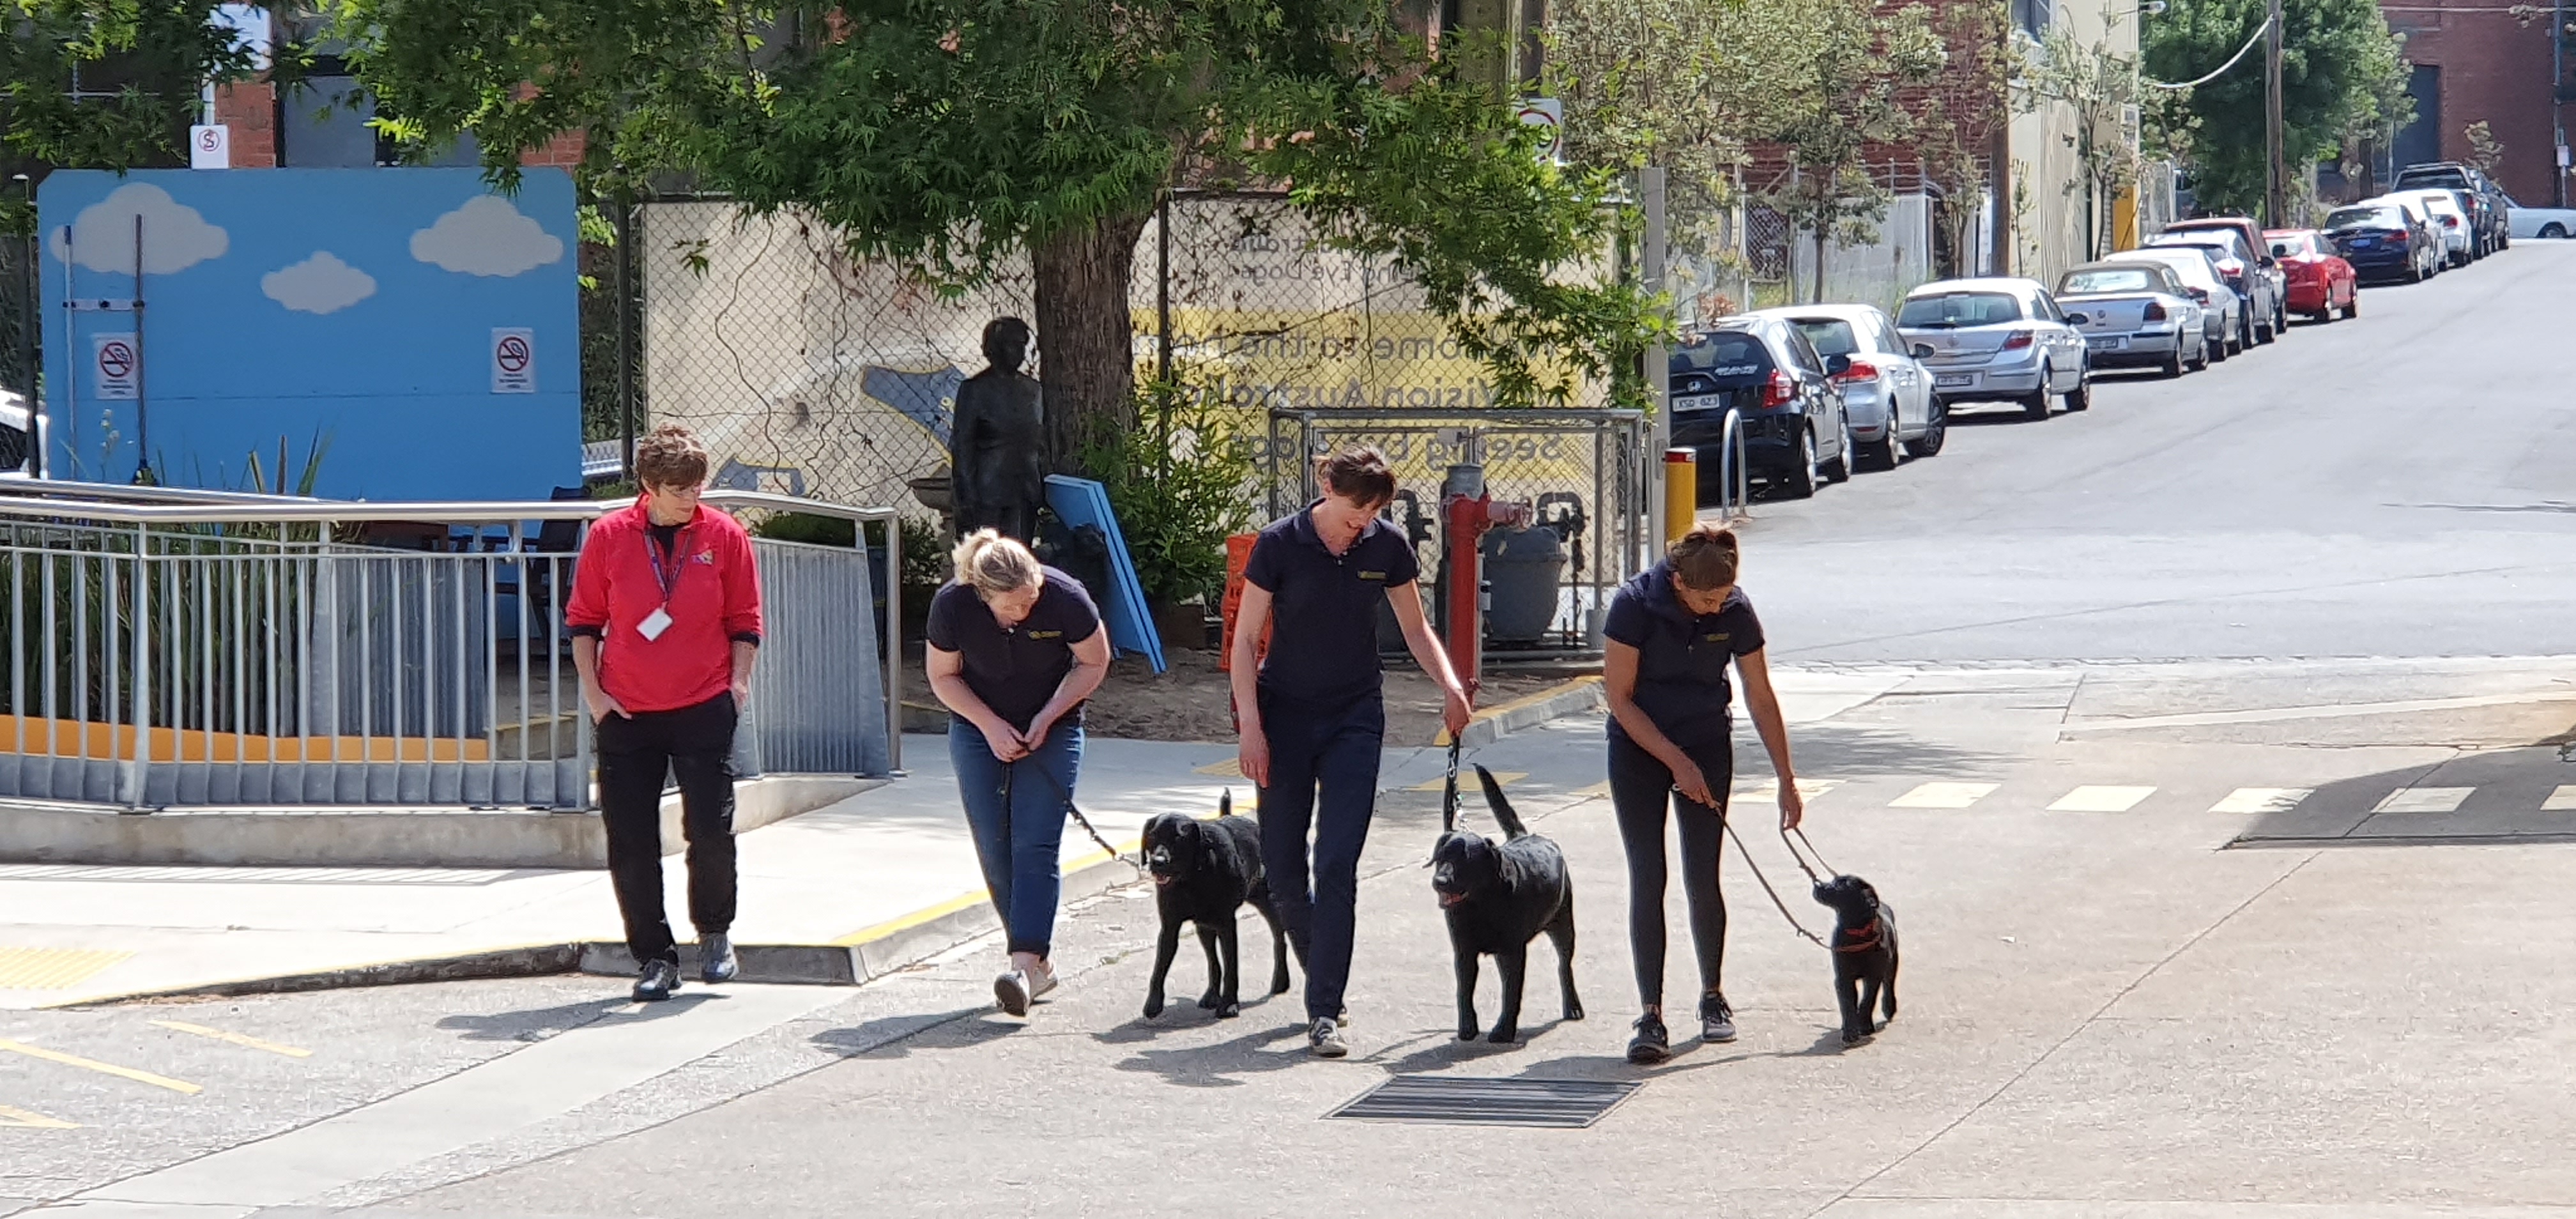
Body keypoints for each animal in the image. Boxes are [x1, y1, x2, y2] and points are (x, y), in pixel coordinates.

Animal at [1138, 788, 1288, 1015]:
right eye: (1152, 836)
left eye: (1179, 838)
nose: (1158, 862)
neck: (1192, 877)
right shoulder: (1170, 925)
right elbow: (1160, 966)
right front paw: (1154, 1003)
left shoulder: (1227, 923)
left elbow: (1231, 966)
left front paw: (1229, 1003)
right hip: (1205, 925)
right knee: (1213, 960)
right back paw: (1211, 994)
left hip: (1267, 902)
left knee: (1279, 939)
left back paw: (1281, 981)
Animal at [1823, 871, 1906, 1041]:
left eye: (1841, 885)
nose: (1818, 885)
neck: (1857, 933)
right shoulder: (1843, 977)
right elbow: (1848, 1003)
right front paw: (1850, 1031)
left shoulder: (1874, 975)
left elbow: (1868, 1000)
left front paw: (1865, 1025)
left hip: (1892, 962)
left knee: (1888, 985)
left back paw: (1889, 1008)